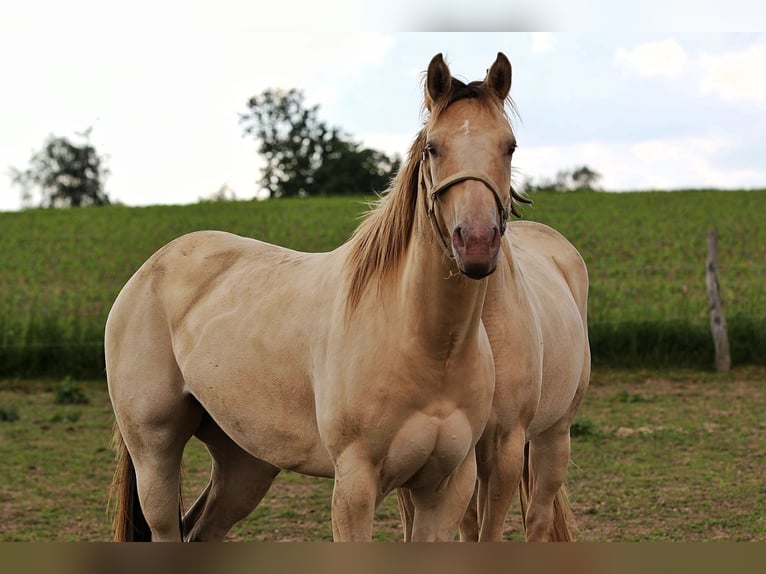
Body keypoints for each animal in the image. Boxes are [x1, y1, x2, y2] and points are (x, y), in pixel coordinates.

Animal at [108, 51, 520, 544]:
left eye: (509, 146)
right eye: (432, 148)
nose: (475, 242)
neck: (429, 345)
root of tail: (148, 271)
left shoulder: (447, 487)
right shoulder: (355, 484)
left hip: (245, 461)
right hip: (155, 451)